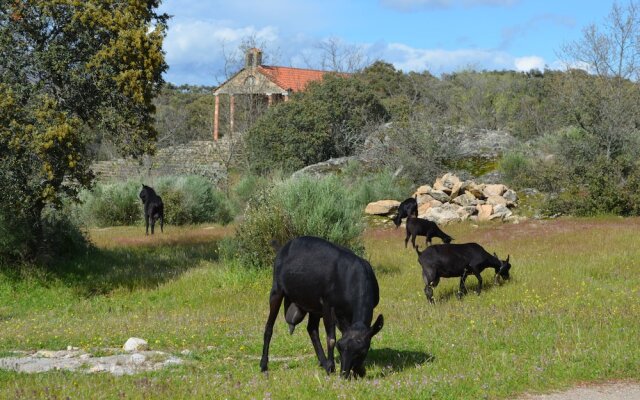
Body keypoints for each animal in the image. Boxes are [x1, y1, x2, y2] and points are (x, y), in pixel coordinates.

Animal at [262, 236, 384, 380]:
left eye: (362, 351)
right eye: (340, 347)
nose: (343, 374)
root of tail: (284, 247)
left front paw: (358, 370)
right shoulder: (327, 305)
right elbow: (331, 339)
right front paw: (332, 367)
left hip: (314, 305)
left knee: (312, 329)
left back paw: (323, 362)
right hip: (277, 290)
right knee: (269, 327)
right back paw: (263, 365)